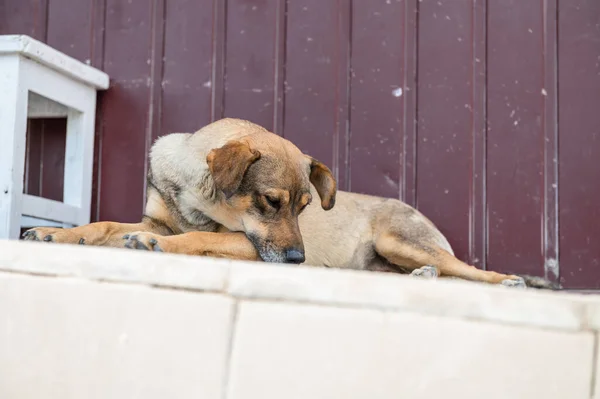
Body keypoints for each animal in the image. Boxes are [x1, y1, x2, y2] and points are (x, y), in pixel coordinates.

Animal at [22, 117, 556, 290]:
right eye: (271, 201)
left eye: (304, 208)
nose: (298, 260)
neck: (198, 198)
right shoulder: (156, 215)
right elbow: (103, 224)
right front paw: (55, 233)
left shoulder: (245, 245)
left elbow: (193, 239)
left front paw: (154, 246)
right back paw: (420, 278)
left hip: (399, 239)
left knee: (466, 269)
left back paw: (506, 281)